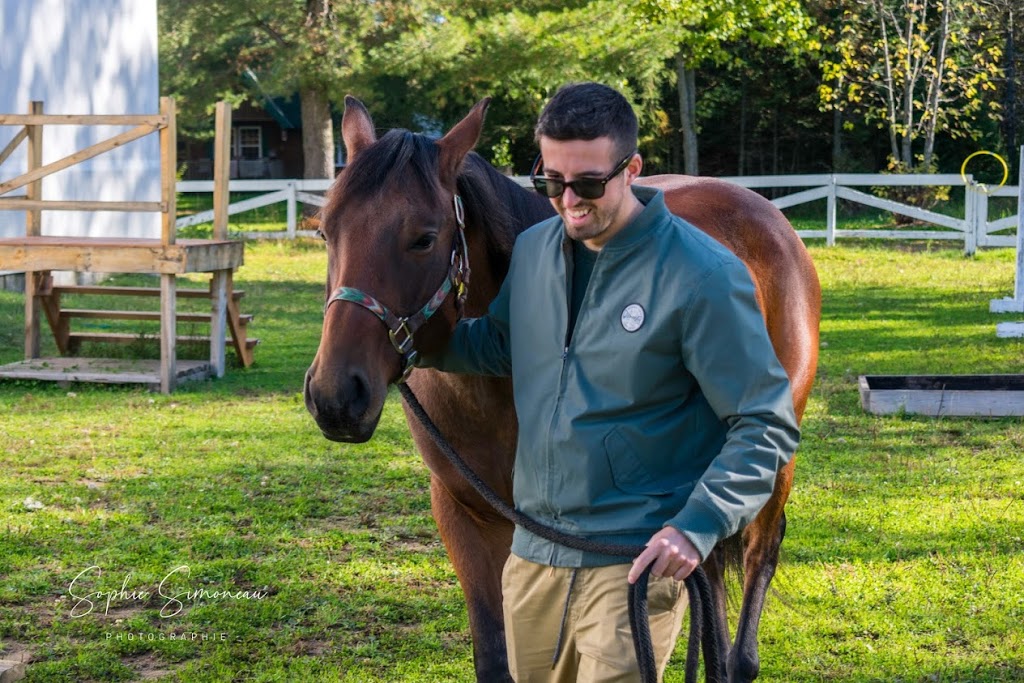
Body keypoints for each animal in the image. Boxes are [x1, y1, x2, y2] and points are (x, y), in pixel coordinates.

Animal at [299, 97, 819, 683]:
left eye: (424, 238)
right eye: (326, 233)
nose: (336, 396)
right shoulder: (466, 516)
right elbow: (498, 656)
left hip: (770, 460)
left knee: (757, 557)